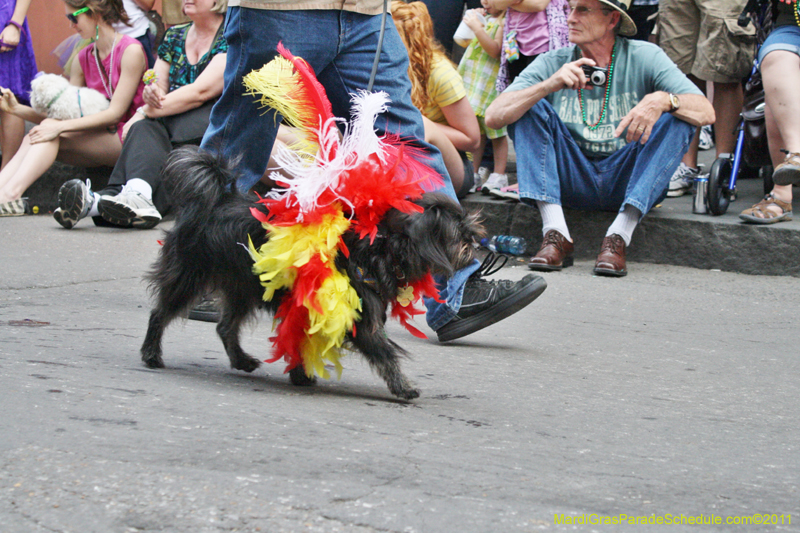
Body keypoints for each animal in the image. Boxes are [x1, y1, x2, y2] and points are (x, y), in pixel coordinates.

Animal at [141, 145, 484, 400]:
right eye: (456, 232)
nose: (476, 239)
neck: (380, 247)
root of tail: (215, 202)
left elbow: (301, 343)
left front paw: (300, 374)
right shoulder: (359, 319)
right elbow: (386, 354)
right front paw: (404, 386)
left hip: (241, 288)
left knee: (226, 327)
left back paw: (240, 359)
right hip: (189, 276)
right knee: (160, 313)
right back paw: (151, 354)